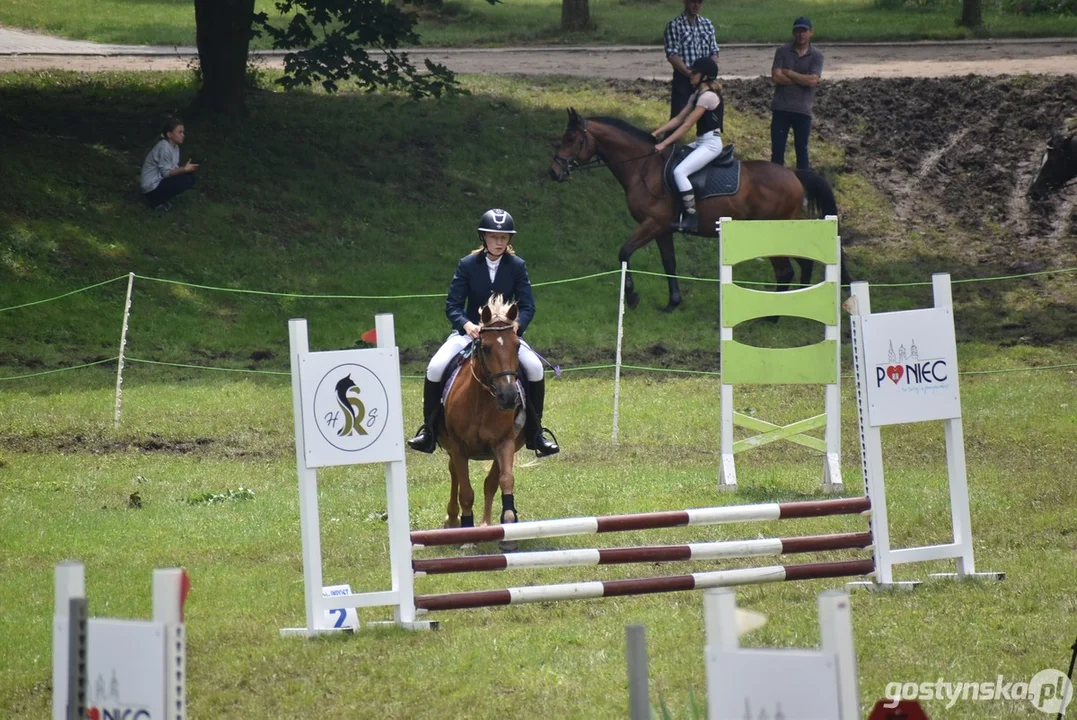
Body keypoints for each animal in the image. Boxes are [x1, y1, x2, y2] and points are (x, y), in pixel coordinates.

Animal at [435, 294, 523, 546]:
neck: (482, 401)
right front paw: (467, 534)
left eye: (517, 345)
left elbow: (505, 480)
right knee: (455, 474)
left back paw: (486, 525)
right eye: (486, 347)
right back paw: (453, 520)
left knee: (490, 482)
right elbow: (465, 491)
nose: (509, 397)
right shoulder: (458, 447)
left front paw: (509, 523)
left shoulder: (505, 442)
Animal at [551, 108, 852, 309]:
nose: (554, 172)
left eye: (571, 139)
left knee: (786, 269)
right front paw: (673, 302)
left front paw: (633, 296)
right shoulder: (663, 229)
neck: (643, 166)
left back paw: (775, 314)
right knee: (804, 262)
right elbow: (669, 262)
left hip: (770, 232)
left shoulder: (652, 224)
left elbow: (624, 252)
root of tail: (792, 174)